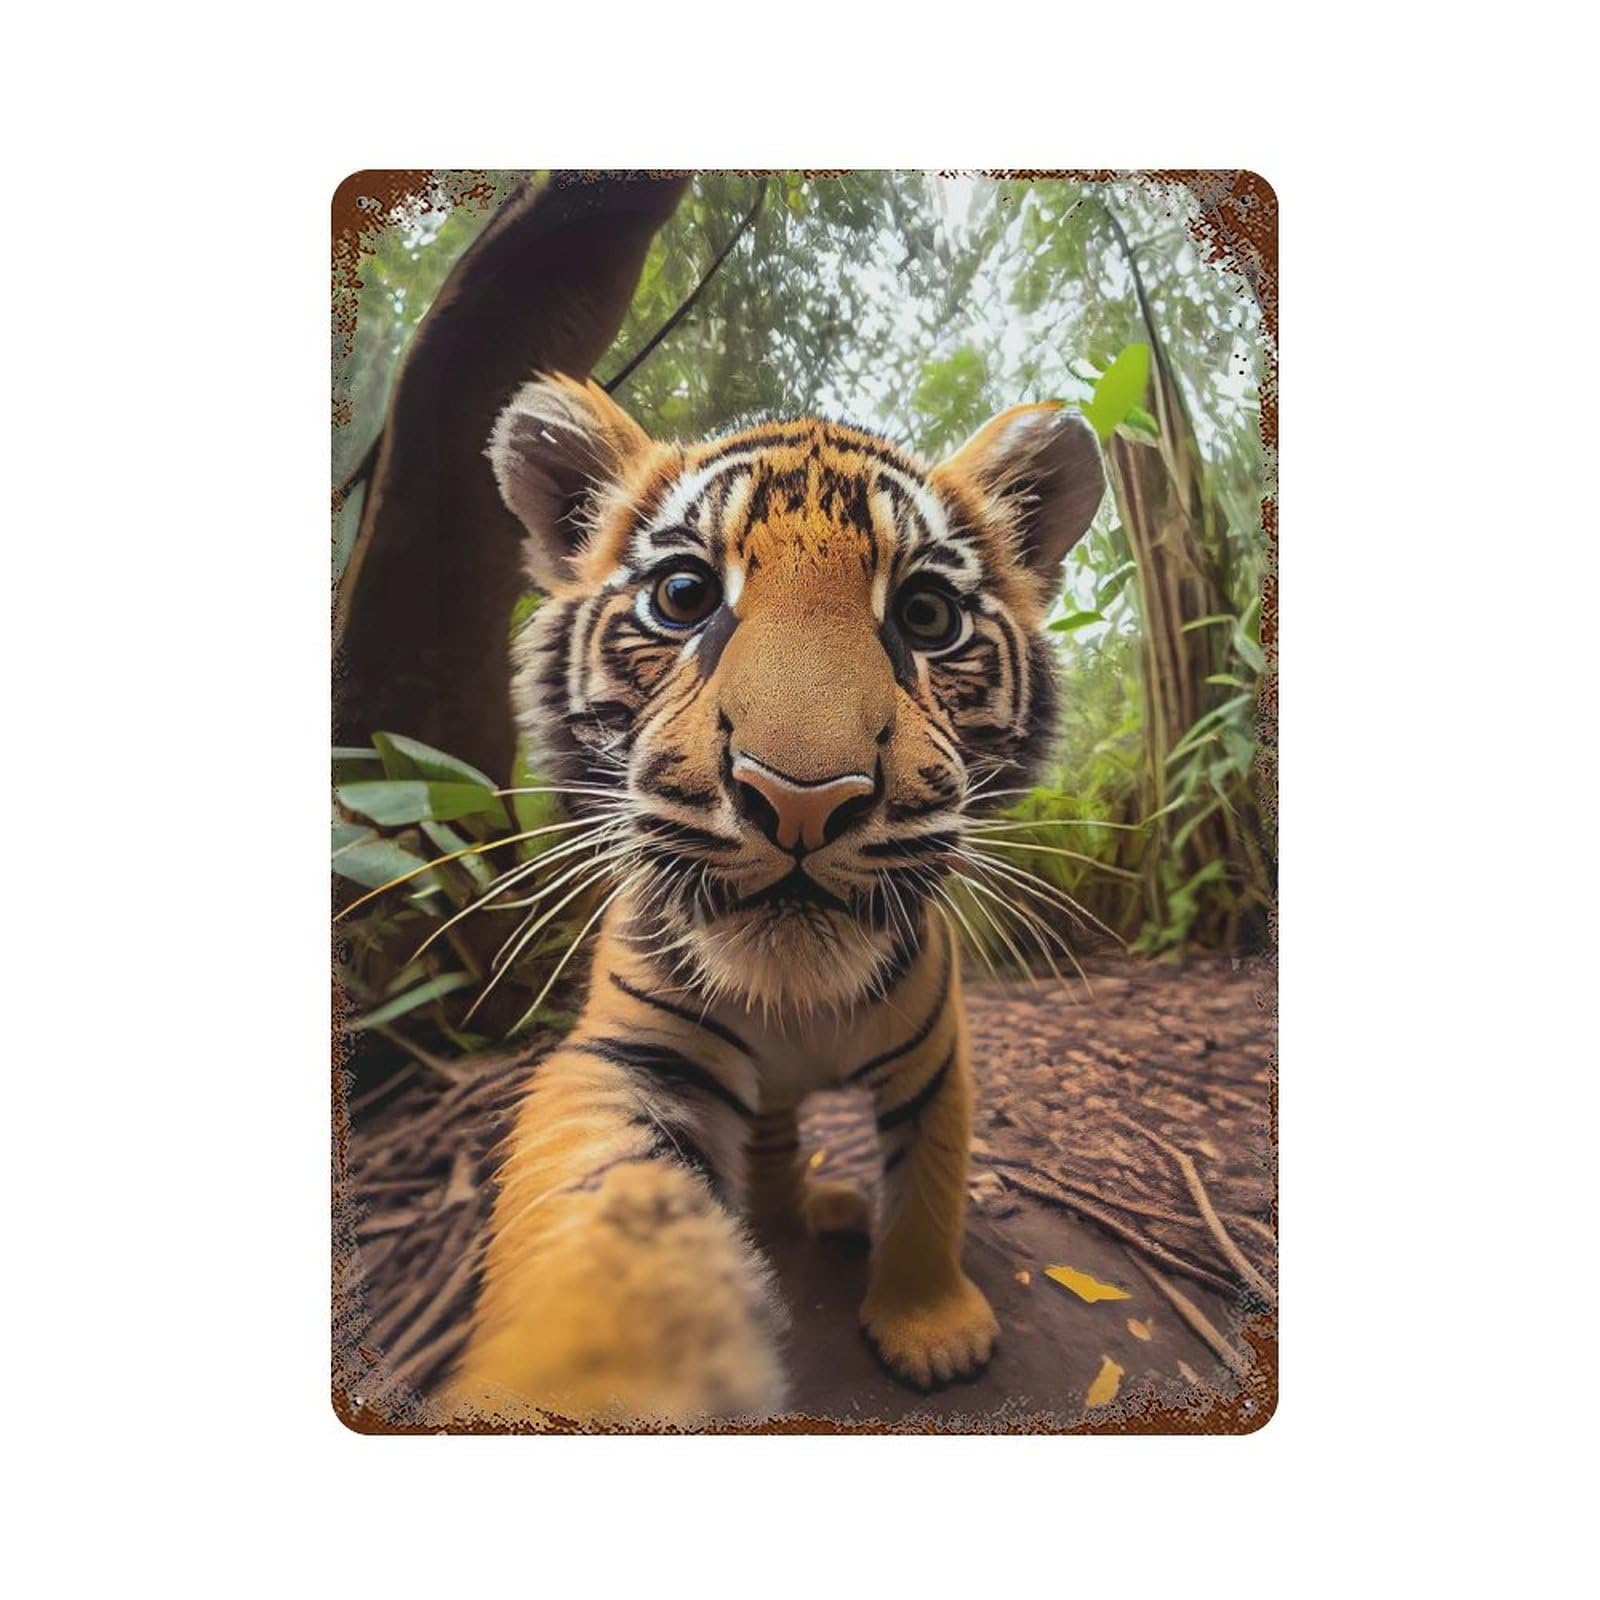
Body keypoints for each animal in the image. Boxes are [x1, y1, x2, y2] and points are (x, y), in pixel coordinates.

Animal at [447, 373, 1105, 1425]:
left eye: (926, 615)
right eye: (683, 596)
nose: (801, 799)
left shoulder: (935, 1057)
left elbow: (928, 1191)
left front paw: (933, 1329)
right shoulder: (635, 1052)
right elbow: (606, 1202)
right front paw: (579, 1368)